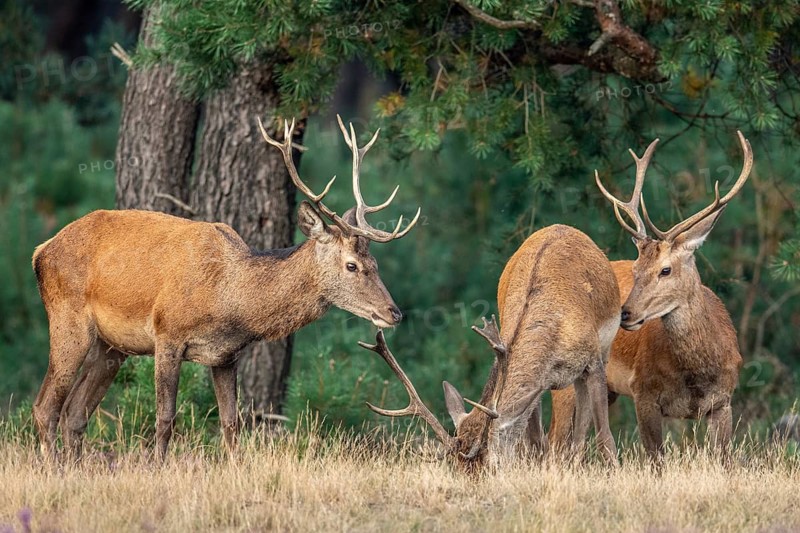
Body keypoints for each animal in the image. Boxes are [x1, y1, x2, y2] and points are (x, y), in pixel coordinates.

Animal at [31, 115, 420, 460]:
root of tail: (41, 251)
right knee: (45, 406)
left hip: (111, 346)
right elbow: (165, 419)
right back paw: (56, 469)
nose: (394, 313)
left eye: (375, 263)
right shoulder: (167, 334)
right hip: (68, 320)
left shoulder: (226, 355)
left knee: (75, 413)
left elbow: (232, 424)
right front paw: (156, 468)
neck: (229, 298)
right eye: (351, 265)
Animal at [360, 224, 622, 472]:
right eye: (456, 469)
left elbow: (605, 437)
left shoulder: (593, 361)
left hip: (603, 352)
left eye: (493, 465)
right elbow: (535, 441)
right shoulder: (538, 384)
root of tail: (563, 227)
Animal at [549, 131, 752, 461]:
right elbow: (655, 458)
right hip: (565, 374)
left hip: (606, 389)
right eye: (635, 269)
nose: (625, 313)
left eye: (665, 270)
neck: (696, 374)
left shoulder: (724, 401)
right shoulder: (643, 390)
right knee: (554, 442)